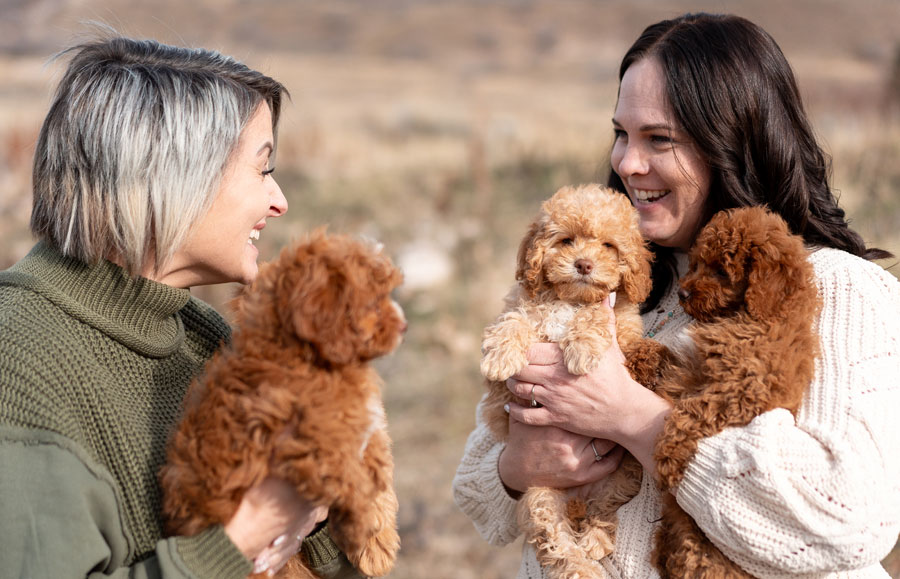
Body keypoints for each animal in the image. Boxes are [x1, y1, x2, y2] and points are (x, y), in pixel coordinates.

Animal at [158, 231, 404, 579]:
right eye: (372, 301)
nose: (403, 325)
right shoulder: (313, 441)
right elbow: (355, 482)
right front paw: (370, 538)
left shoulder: (366, 428)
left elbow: (380, 477)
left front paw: (378, 544)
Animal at [482, 185, 664, 579]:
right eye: (566, 240)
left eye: (608, 246)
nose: (584, 265)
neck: (569, 299)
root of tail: (577, 499)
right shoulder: (523, 313)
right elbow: (514, 320)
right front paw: (499, 356)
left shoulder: (621, 327)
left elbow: (597, 314)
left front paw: (581, 349)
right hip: (540, 495)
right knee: (557, 541)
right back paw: (582, 567)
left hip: (622, 476)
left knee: (603, 511)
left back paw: (595, 540)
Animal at [652, 206, 824, 576]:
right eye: (697, 264)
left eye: (720, 270)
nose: (683, 294)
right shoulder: (688, 366)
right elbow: (662, 361)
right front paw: (635, 354)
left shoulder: (743, 388)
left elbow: (691, 411)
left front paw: (668, 456)